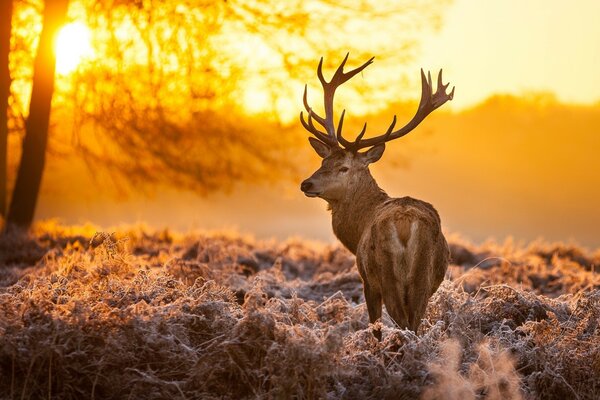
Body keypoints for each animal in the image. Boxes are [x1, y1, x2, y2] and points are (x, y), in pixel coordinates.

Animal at [300, 54, 454, 340]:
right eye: (323, 161)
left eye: (344, 167)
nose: (306, 183)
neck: (357, 228)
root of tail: (406, 224)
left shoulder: (367, 281)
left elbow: (375, 327)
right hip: (423, 279)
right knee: (414, 324)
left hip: (386, 274)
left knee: (402, 323)